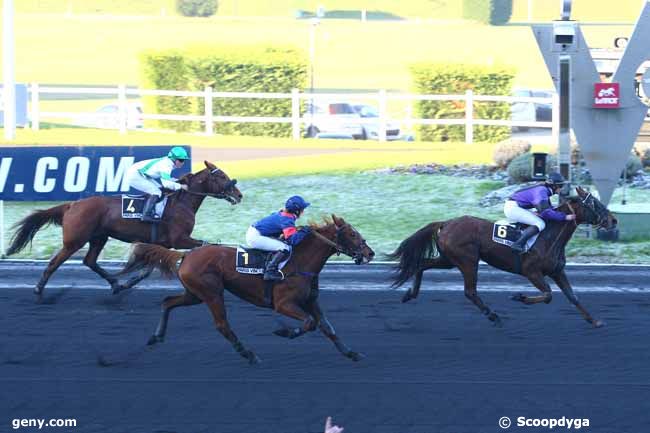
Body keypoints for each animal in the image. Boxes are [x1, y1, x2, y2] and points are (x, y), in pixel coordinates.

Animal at [388, 186, 616, 328]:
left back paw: (410, 294)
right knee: (470, 291)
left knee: (421, 265)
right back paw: (494, 316)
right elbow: (548, 295)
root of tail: (447, 223)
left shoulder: (557, 271)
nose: (613, 221)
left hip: (449, 260)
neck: (550, 236)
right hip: (467, 261)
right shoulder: (531, 271)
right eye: (594, 203)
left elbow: (573, 297)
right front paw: (519, 297)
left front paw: (595, 321)